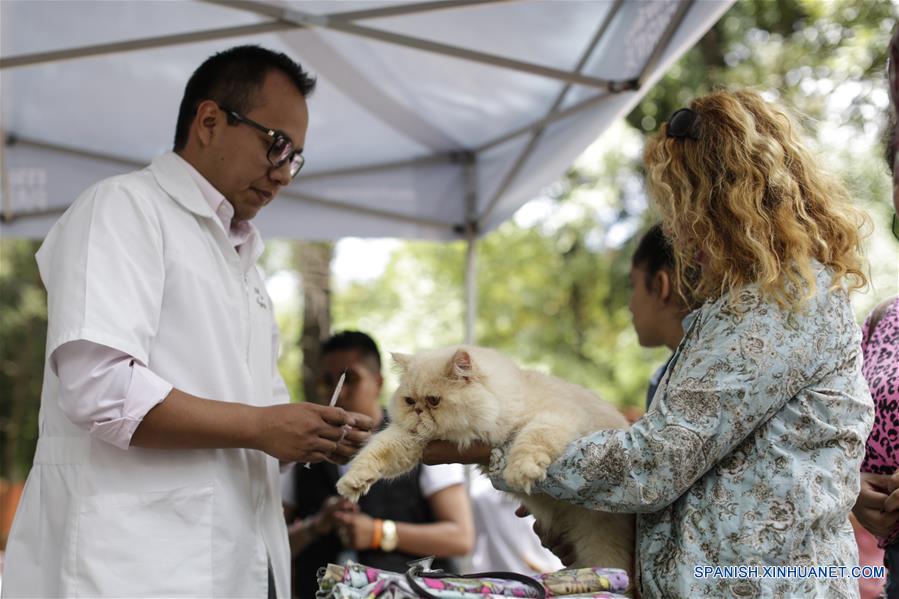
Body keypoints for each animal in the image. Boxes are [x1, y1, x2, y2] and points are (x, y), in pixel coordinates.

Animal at [334, 344, 636, 580]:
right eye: (409, 401)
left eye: (433, 401)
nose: (418, 411)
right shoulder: (408, 438)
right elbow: (375, 453)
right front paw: (353, 482)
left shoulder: (557, 417)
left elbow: (531, 439)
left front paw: (520, 471)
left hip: (600, 542)